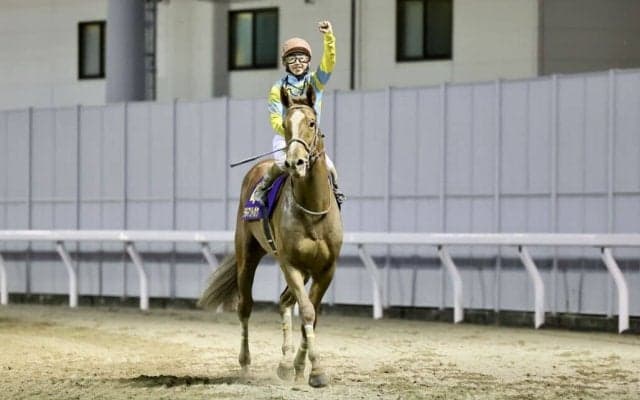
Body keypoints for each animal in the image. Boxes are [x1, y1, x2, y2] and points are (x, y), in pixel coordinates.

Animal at [198, 83, 343, 388]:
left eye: (311, 123)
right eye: (286, 125)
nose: (295, 162)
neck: (313, 210)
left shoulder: (326, 268)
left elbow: (312, 313)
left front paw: (302, 366)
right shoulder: (289, 263)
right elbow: (307, 310)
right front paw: (317, 371)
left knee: (285, 301)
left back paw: (287, 364)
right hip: (248, 254)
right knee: (245, 306)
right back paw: (245, 364)